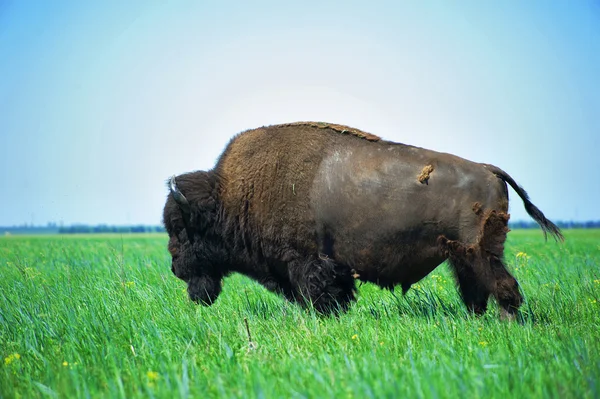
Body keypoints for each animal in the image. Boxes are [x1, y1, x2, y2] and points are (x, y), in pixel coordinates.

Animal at [161, 122, 564, 318]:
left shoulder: (307, 263)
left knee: (504, 287)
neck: (231, 195)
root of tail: (488, 169)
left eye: (180, 227)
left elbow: (320, 296)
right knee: (476, 290)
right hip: (462, 256)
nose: (175, 267)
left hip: (481, 252)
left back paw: (505, 322)